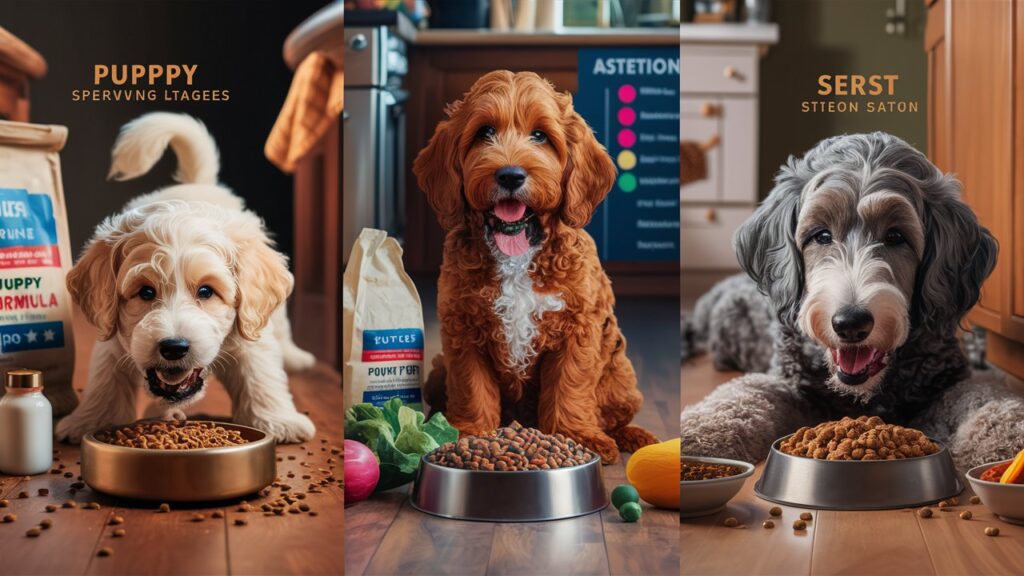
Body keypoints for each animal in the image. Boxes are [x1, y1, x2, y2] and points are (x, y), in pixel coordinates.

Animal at [55, 113, 315, 444]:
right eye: (146, 292)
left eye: (206, 291)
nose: (174, 348)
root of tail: (196, 183)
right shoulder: (112, 340)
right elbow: (105, 380)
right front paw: (88, 420)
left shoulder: (250, 335)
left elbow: (260, 373)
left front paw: (278, 420)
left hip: (270, 314)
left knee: (281, 329)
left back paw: (296, 357)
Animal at [413, 69, 659, 461]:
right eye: (484, 132)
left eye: (540, 135)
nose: (510, 175)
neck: (517, 252)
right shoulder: (463, 332)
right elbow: (472, 387)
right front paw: (469, 433)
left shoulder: (577, 332)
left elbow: (570, 386)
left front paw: (577, 436)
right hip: (437, 371)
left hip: (621, 377)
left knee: (614, 417)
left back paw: (633, 436)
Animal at [679, 132, 1024, 469]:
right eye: (821, 235)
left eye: (896, 236)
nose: (851, 323)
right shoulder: (792, 381)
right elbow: (747, 394)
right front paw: (700, 431)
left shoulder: (945, 378)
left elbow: (980, 393)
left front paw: (1006, 436)